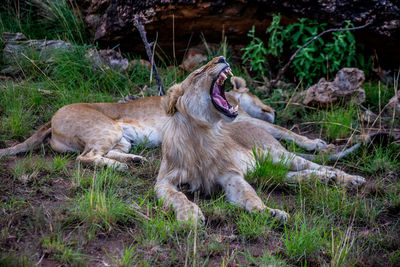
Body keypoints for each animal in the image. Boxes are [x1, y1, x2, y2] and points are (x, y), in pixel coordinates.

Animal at [155, 57, 366, 224]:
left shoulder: (230, 174)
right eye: (198, 73)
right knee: (283, 176)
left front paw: (268, 212)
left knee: (318, 166)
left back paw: (347, 179)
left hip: (278, 154)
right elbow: (178, 196)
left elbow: (250, 196)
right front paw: (189, 216)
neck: (203, 134)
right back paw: (321, 179)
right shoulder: (164, 181)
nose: (222, 57)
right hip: (264, 168)